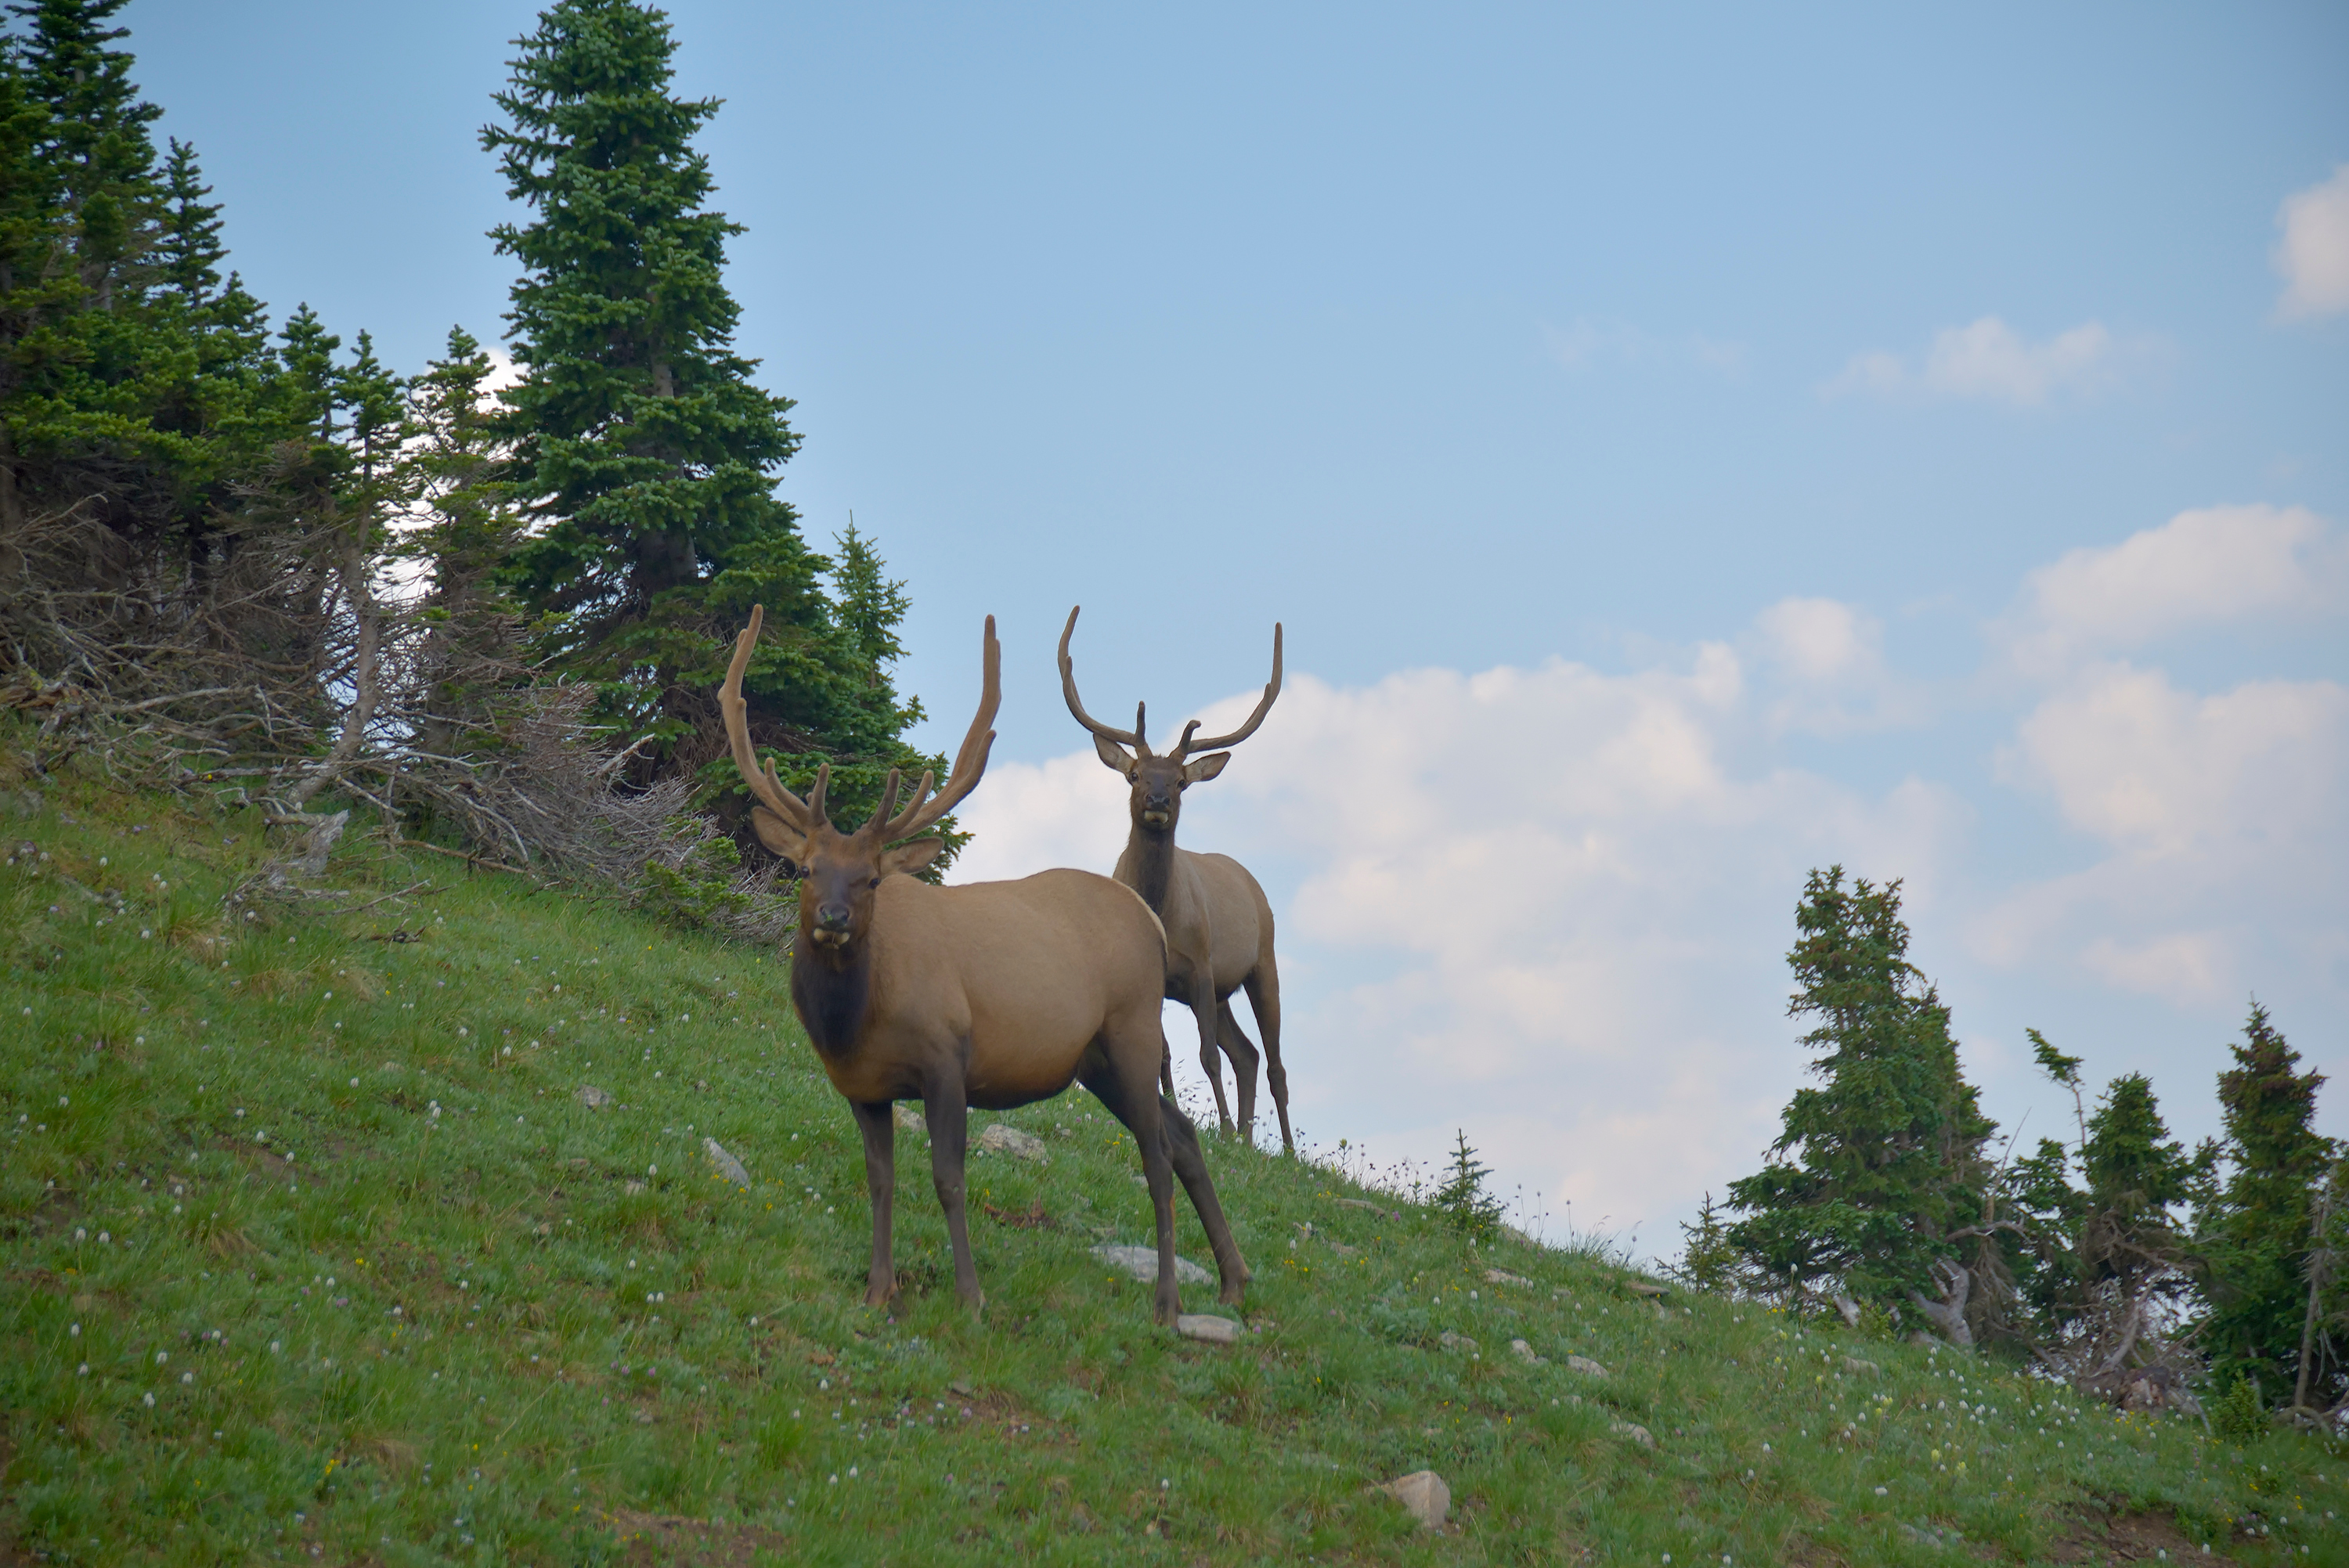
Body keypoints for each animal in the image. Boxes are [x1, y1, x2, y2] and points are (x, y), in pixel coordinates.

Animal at [722, 606, 1249, 1323]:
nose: (833, 918)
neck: (852, 1021)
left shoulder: (947, 1055)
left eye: (871, 879)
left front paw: (969, 1295)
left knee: (1157, 1155)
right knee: (1185, 1134)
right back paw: (1234, 1278)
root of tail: (1150, 917)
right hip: (1095, 1061)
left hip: (1136, 1028)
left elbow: (948, 1178)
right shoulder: (864, 1086)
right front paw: (879, 1289)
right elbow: (880, 1179)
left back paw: (1168, 1301)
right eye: (806, 869)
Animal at [1057, 606, 1292, 1154]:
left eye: (1181, 781)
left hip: (1261, 963)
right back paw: (1245, 1141)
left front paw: (1219, 1128)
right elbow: (1163, 1054)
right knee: (1246, 1053)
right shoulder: (1155, 980)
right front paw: (1174, 1119)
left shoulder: (1201, 966)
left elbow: (1206, 1055)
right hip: (1222, 990)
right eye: (1135, 775)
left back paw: (1283, 1151)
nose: (1159, 801)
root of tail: (1252, 882)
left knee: (1274, 1062)